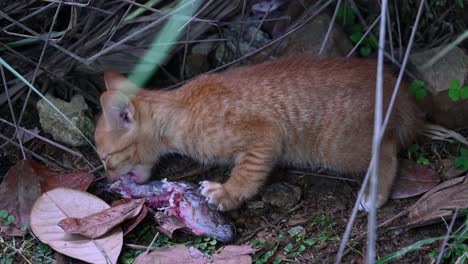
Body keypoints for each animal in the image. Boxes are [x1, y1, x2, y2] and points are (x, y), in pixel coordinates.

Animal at [94, 55, 420, 210]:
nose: (108, 180)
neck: (180, 110)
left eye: (106, 159)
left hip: (338, 148)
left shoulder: (266, 135)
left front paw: (227, 193)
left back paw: (374, 193)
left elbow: (248, 171)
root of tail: (400, 91)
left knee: (388, 151)